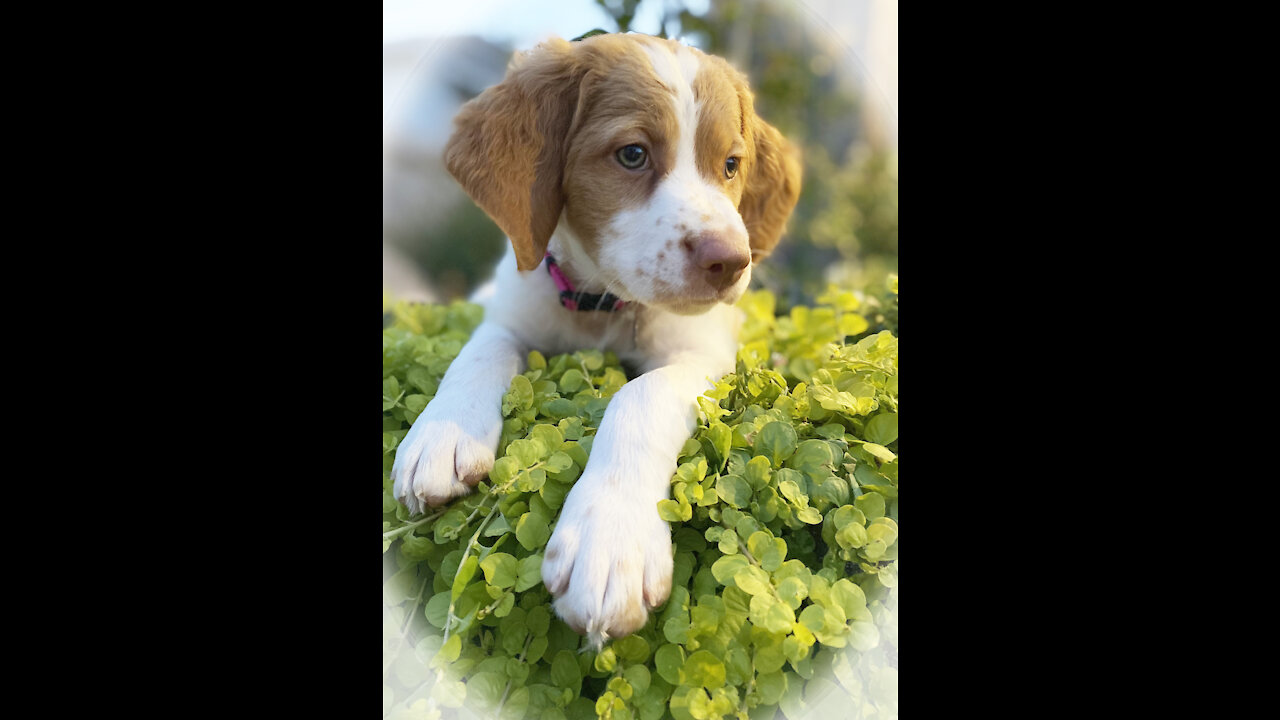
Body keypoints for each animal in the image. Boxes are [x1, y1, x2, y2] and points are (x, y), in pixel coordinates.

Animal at [389, 33, 798, 645]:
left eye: (731, 165)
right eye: (632, 154)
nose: (730, 261)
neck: (602, 306)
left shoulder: (704, 353)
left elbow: (640, 393)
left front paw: (610, 539)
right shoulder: (513, 305)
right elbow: (479, 349)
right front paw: (442, 434)